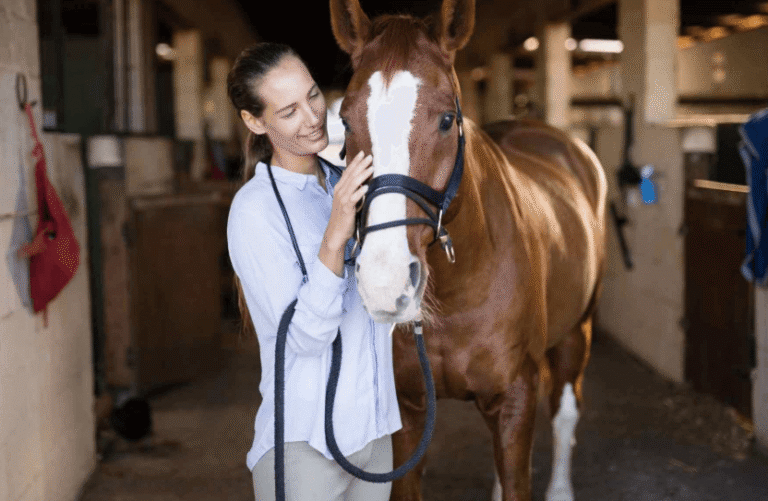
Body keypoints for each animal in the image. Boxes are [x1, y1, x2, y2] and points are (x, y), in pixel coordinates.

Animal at [329, 0, 607, 499]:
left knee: (566, 412)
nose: (385, 282)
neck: (458, 289)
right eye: (344, 120)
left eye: (446, 119)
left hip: (578, 331)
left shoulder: (517, 396)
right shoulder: (410, 409)